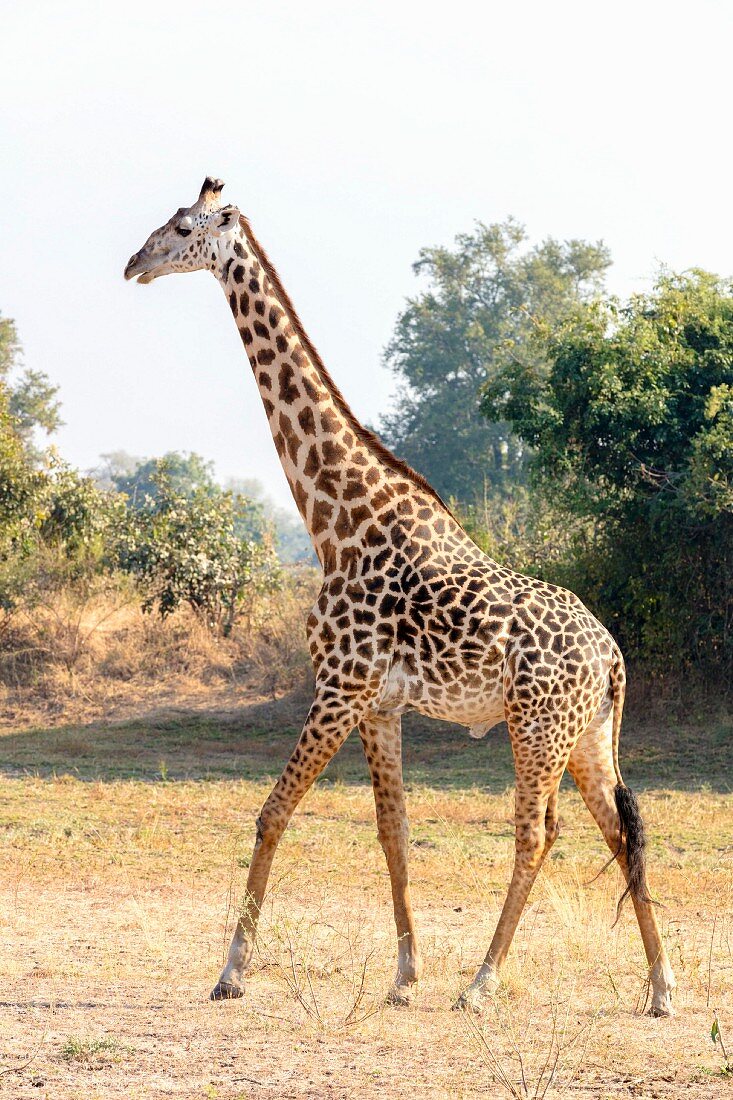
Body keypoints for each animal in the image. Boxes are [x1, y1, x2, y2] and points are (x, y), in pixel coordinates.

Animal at [124, 178, 673, 1012]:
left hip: (537, 728)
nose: (133, 264)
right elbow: (394, 831)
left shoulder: (338, 685)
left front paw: (231, 972)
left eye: (183, 228)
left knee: (536, 833)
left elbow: (271, 813)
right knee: (620, 829)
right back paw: (659, 988)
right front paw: (404, 975)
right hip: (587, 734)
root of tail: (610, 659)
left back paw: (481, 982)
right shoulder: (378, 703)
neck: (335, 519)